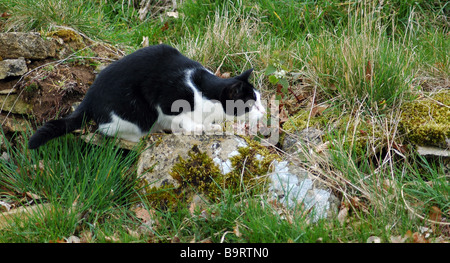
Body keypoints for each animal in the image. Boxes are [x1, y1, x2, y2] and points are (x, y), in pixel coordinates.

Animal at [28, 44, 266, 150]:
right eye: (251, 104)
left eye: (260, 99)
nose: (264, 111)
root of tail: (89, 96)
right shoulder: (169, 102)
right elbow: (185, 120)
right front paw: (200, 128)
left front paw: (213, 126)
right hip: (137, 111)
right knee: (107, 129)